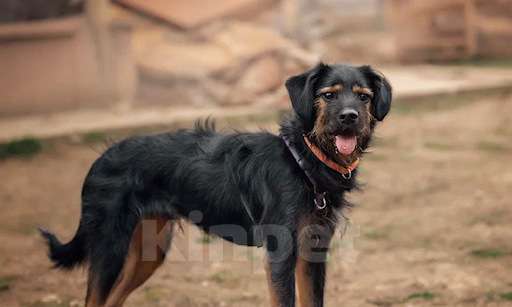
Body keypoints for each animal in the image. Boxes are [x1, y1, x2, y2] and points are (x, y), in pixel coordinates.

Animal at [41, 63, 392, 307]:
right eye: (328, 94)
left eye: (364, 97)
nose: (350, 117)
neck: (303, 160)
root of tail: (100, 158)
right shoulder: (281, 253)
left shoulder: (314, 251)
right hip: (110, 246)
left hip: (148, 252)